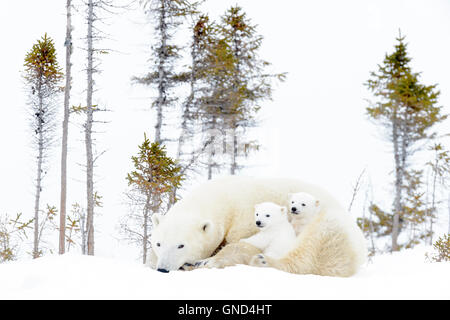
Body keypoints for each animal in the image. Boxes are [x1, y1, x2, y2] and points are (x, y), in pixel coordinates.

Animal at [147, 176, 366, 276]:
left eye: (181, 245)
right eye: (158, 244)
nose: (163, 270)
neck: (226, 198)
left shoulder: (246, 219)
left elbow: (243, 244)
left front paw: (206, 262)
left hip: (330, 228)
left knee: (309, 253)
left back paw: (263, 261)